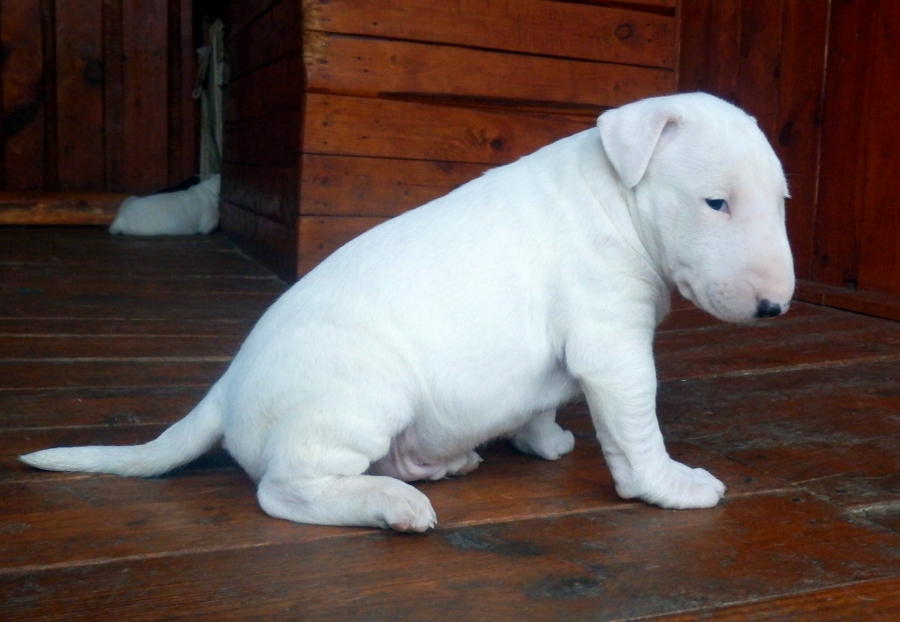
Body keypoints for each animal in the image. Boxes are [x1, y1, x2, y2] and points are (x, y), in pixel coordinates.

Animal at [22, 93, 794, 532]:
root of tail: (226, 388)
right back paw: (391, 504)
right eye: (715, 202)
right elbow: (636, 428)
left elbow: (545, 401)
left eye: (782, 201)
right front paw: (669, 485)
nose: (776, 307)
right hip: (360, 396)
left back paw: (434, 466)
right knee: (284, 491)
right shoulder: (611, 344)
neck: (615, 194)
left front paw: (543, 441)